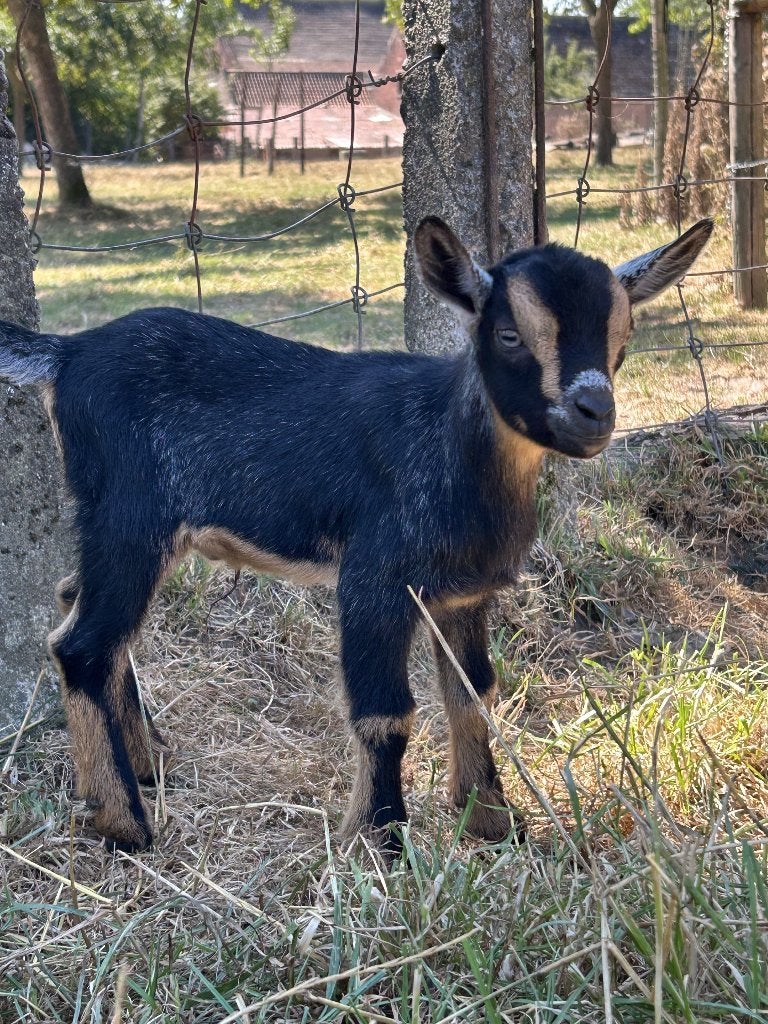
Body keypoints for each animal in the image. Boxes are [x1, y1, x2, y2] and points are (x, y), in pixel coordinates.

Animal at [0, 217, 712, 853]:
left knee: (78, 602)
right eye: (509, 334)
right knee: (82, 644)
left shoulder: (464, 593)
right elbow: (387, 709)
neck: (446, 444)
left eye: (623, 339)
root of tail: (68, 354)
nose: (594, 415)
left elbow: (475, 690)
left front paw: (491, 821)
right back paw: (123, 824)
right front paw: (379, 840)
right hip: (131, 512)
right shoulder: (375, 575)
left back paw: (147, 764)